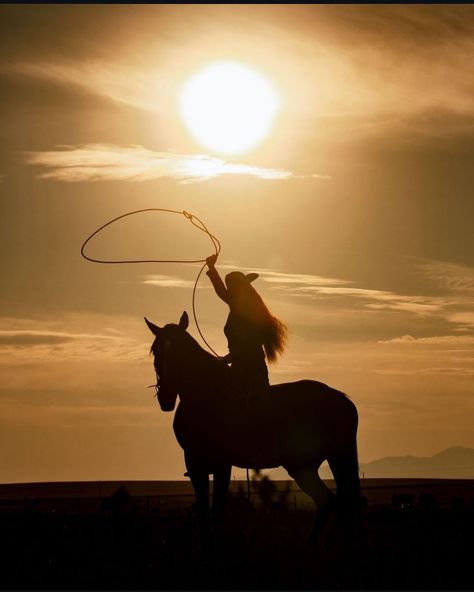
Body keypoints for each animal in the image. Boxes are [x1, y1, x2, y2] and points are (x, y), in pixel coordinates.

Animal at [144, 314, 360, 540]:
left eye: (180, 352)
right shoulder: (195, 464)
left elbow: (216, 511)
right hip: (328, 459)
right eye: (155, 351)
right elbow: (203, 514)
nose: (165, 398)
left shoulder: (221, 464)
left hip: (302, 465)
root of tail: (343, 400)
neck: (206, 397)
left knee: (329, 500)